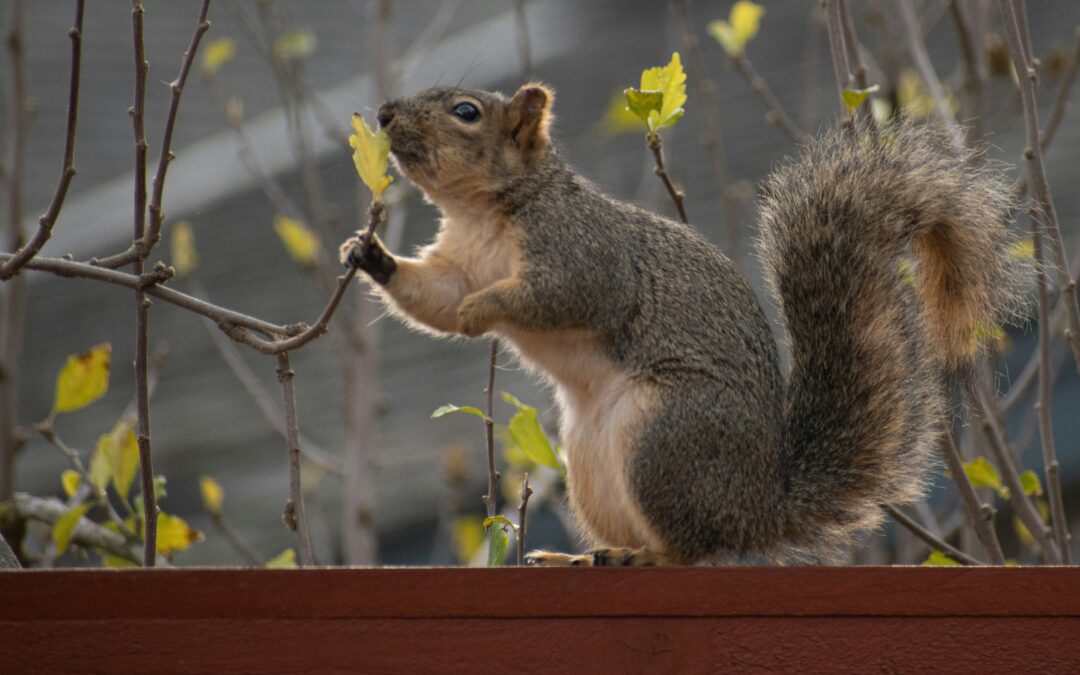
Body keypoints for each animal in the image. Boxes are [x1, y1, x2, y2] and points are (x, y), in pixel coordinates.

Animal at [340, 83, 1028, 565]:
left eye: (465, 112)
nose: (385, 114)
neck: (483, 213)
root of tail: (758, 508)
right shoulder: (457, 264)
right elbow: (433, 297)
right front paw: (367, 254)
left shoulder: (583, 255)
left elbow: (559, 298)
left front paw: (482, 310)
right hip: (591, 464)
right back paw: (581, 555)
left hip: (668, 439)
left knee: (694, 548)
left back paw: (642, 555)